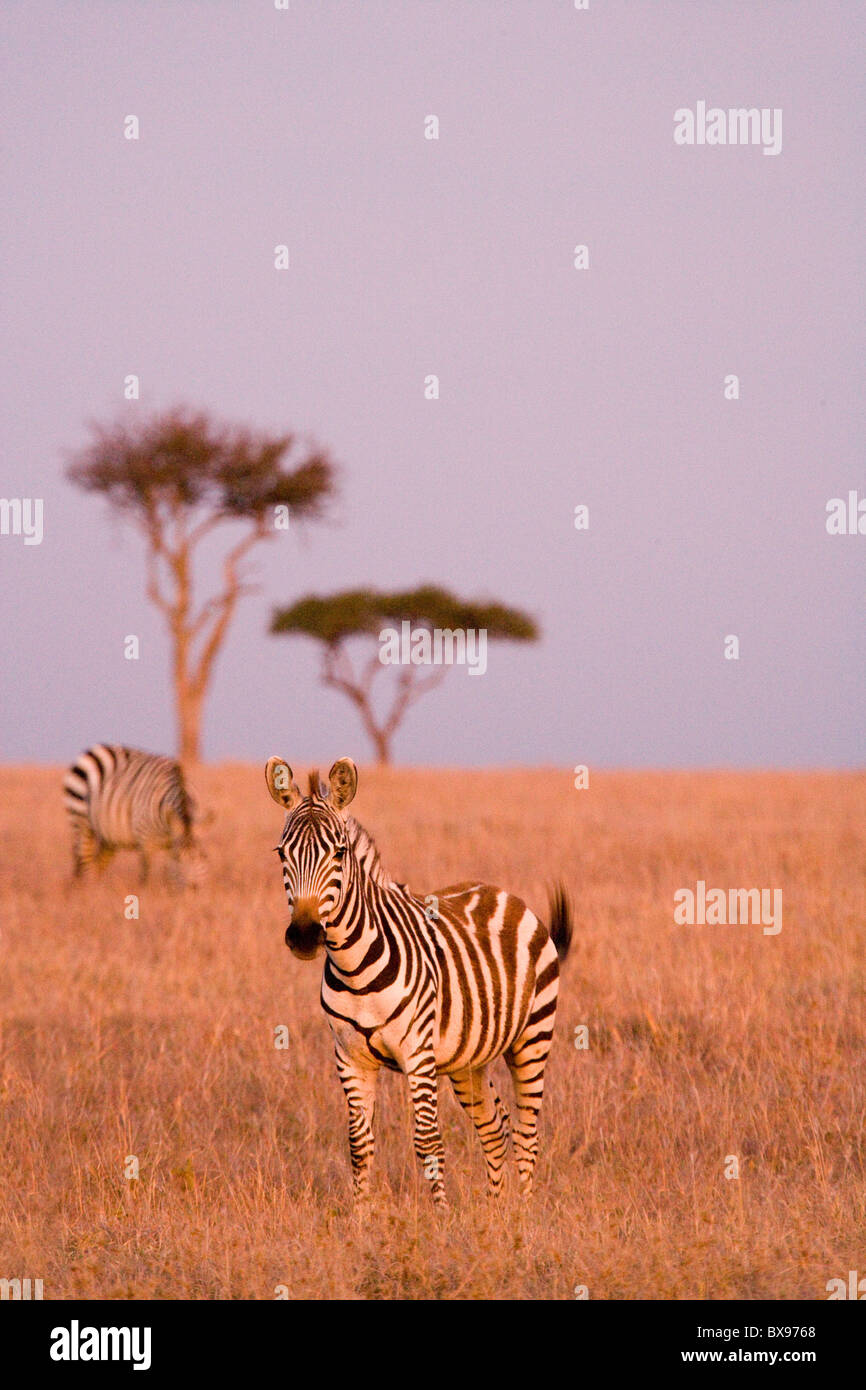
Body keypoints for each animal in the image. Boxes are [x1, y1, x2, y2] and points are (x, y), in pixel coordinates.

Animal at [63, 744, 207, 885]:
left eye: (203, 855)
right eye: (179, 858)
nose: (193, 887)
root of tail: (94, 749)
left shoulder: (171, 843)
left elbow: (169, 875)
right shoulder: (146, 841)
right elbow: (145, 874)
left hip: (108, 837)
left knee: (98, 864)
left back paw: (98, 888)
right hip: (81, 821)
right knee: (85, 860)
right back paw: (89, 889)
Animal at [265, 755, 573, 1208]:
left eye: (339, 853)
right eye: (282, 853)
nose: (304, 935)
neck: (354, 967)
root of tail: (503, 893)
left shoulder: (417, 1052)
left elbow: (428, 1141)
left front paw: (440, 1215)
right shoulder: (348, 1056)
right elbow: (359, 1144)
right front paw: (360, 1217)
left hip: (533, 1037)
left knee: (526, 1134)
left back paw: (526, 1211)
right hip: (468, 1059)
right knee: (494, 1126)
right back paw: (498, 1212)